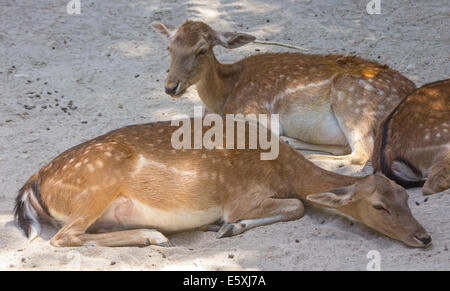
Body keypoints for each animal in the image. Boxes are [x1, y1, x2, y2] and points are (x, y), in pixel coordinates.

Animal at [13, 118, 428, 249]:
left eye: (407, 200)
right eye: (379, 206)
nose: (424, 236)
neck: (283, 169)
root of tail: (34, 183)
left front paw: (224, 227)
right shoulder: (241, 197)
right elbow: (297, 206)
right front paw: (228, 226)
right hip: (97, 186)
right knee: (62, 237)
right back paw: (152, 235)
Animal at [152, 20, 418, 167]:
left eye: (202, 50)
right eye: (170, 47)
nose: (171, 86)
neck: (223, 96)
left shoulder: (257, 114)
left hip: (353, 104)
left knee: (362, 153)